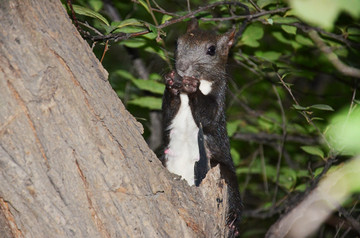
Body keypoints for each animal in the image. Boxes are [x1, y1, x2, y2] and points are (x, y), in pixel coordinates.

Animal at [162, 19, 242, 236]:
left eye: (211, 50)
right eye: (177, 43)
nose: (181, 67)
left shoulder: (219, 103)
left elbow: (209, 115)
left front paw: (192, 88)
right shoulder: (171, 115)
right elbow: (167, 113)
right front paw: (171, 82)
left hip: (222, 170)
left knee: (234, 195)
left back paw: (233, 222)